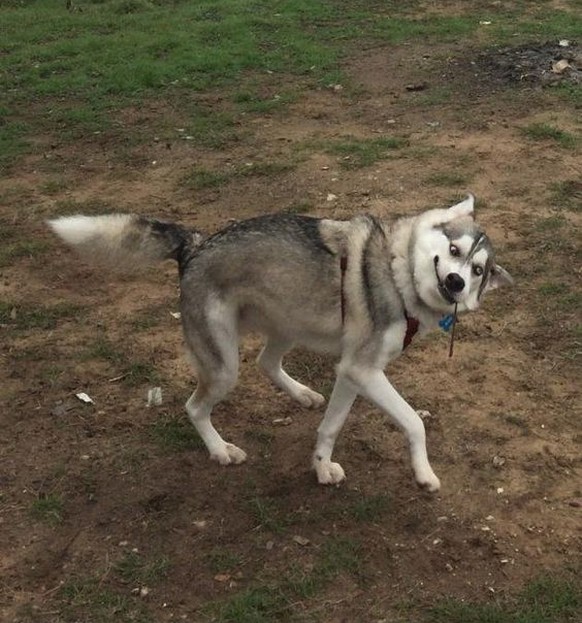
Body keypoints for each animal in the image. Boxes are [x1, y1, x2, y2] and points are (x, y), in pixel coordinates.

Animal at [51, 195, 516, 492]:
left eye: (478, 270)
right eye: (453, 250)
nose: (455, 283)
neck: (398, 272)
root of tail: (195, 243)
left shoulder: (353, 373)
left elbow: (330, 426)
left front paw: (322, 469)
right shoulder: (364, 371)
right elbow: (414, 422)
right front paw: (424, 475)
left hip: (286, 326)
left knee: (266, 362)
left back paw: (302, 394)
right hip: (223, 366)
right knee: (195, 406)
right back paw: (221, 450)